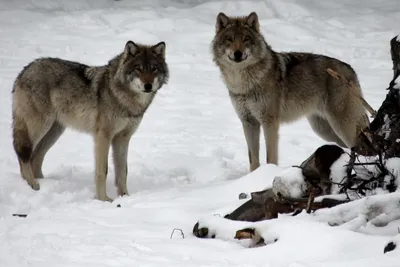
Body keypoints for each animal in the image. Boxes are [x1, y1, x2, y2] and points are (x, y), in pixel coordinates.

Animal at [11, 40, 169, 202]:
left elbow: (123, 171)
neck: (125, 99)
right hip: (40, 126)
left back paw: (44, 184)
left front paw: (125, 197)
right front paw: (104, 199)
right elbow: (103, 171)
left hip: (54, 132)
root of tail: (24, 70)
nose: (148, 86)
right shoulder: (103, 137)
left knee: (35, 158)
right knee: (23, 154)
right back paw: (33, 184)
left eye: (154, 69)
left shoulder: (123, 138)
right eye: (138, 68)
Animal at [211, 11, 370, 172]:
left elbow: (270, 156)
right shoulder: (248, 121)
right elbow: (253, 159)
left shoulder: (269, 122)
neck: (243, 83)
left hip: (342, 128)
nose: (238, 53)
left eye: (246, 39)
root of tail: (351, 70)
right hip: (324, 130)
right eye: (229, 39)